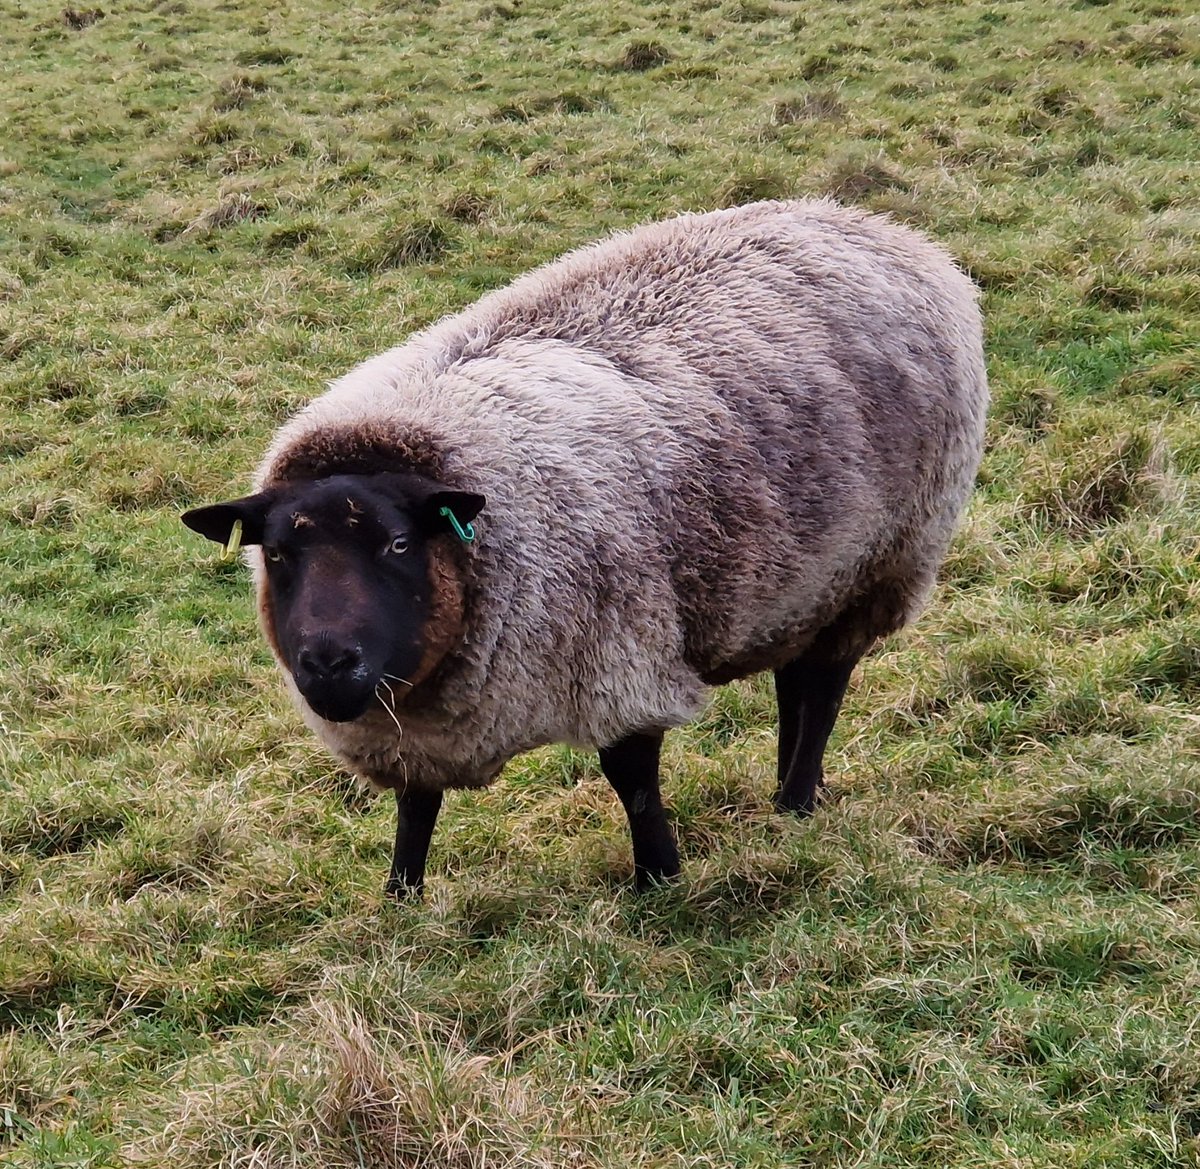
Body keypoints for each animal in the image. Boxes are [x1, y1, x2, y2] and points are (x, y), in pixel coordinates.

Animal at [177, 199, 984, 897]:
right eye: (278, 554)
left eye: (400, 543)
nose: (327, 662)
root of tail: (883, 230)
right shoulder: (417, 727)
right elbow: (416, 805)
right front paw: (400, 897)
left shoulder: (618, 655)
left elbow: (630, 776)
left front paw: (659, 878)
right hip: (805, 578)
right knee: (797, 677)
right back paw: (788, 797)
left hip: (878, 563)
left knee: (823, 685)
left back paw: (795, 798)